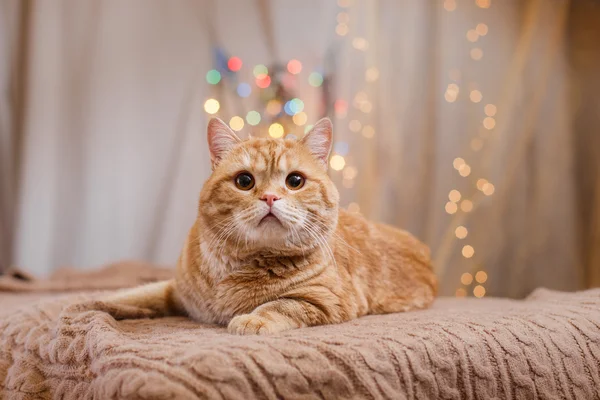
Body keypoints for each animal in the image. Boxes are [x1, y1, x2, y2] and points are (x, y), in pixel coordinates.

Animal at [108, 118, 436, 334]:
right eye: (244, 181)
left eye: (295, 181)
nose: (269, 197)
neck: (234, 267)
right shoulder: (176, 291)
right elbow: (136, 294)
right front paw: (98, 305)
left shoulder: (325, 300)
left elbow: (280, 304)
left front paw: (253, 318)